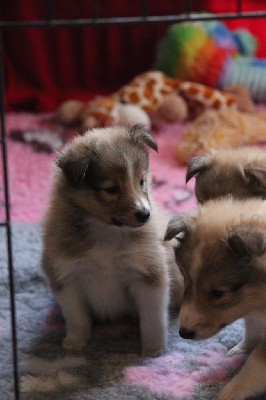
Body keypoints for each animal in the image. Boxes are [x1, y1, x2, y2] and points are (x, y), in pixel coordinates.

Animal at [41, 125, 183, 356]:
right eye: (111, 189)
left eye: (141, 181)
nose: (145, 215)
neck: (106, 232)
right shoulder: (66, 277)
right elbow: (76, 317)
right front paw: (75, 343)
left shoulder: (148, 275)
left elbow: (152, 319)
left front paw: (153, 350)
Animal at [165, 198, 266, 400]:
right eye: (186, 281)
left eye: (217, 293)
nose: (183, 334)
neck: (259, 304)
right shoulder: (252, 314)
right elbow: (251, 331)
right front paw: (239, 349)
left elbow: (252, 368)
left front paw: (228, 393)